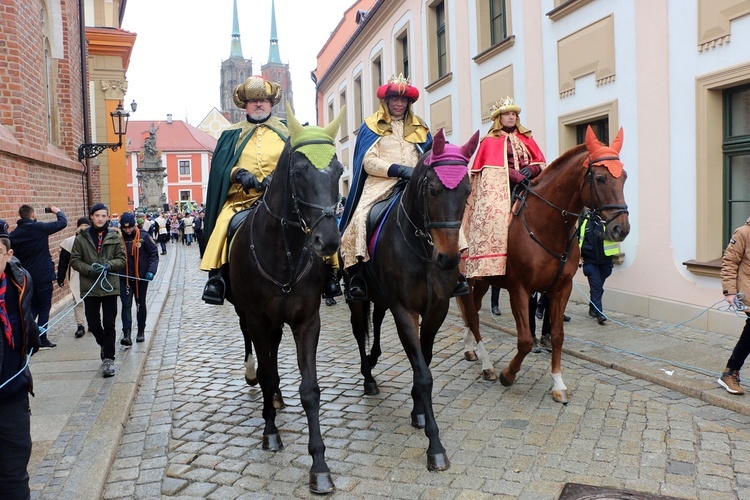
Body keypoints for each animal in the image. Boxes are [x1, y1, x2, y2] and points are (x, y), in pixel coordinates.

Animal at [228, 104, 346, 492]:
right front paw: (270, 433)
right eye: (298, 171)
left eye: (339, 171)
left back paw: (278, 399)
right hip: (246, 315)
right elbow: (266, 374)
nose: (328, 241)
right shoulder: (257, 319)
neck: (284, 251)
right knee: (257, 354)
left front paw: (320, 466)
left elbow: (309, 389)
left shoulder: (306, 321)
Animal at [348, 129, 482, 472]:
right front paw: (435, 445)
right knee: (359, 331)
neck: (423, 250)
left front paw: (418, 410)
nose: (448, 259)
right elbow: (423, 374)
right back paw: (368, 377)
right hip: (358, 299)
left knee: (376, 324)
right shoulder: (405, 311)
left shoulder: (436, 309)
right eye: (433, 190)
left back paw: (374, 358)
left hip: (382, 299)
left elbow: (425, 359)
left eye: (467, 191)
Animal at [458, 127, 628, 404]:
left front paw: (558, 383)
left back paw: (471, 348)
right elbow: (526, 340)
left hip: (482, 282)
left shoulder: (561, 288)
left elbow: (558, 336)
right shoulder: (519, 289)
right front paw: (508, 374)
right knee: (472, 315)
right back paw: (487, 365)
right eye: (601, 178)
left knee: (472, 310)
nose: (621, 228)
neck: (546, 226)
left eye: (624, 177)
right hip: (470, 276)